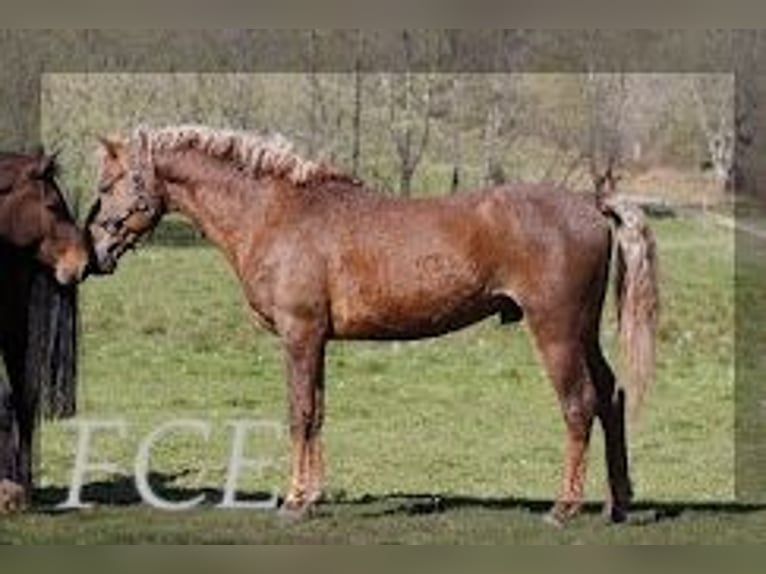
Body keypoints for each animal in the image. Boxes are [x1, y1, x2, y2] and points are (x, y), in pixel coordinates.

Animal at [85, 126, 660, 528]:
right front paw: (312, 496)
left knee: (579, 405)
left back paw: (564, 508)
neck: (277, 213)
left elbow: (299, 413)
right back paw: (617, 504)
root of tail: (589, 202)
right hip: (584, 332)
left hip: (556, 332)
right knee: (611, 396)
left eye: (110, 184)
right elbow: (317, 414)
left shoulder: (299, 335)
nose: (97, 250)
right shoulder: (316, 340)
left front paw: (294, 502)